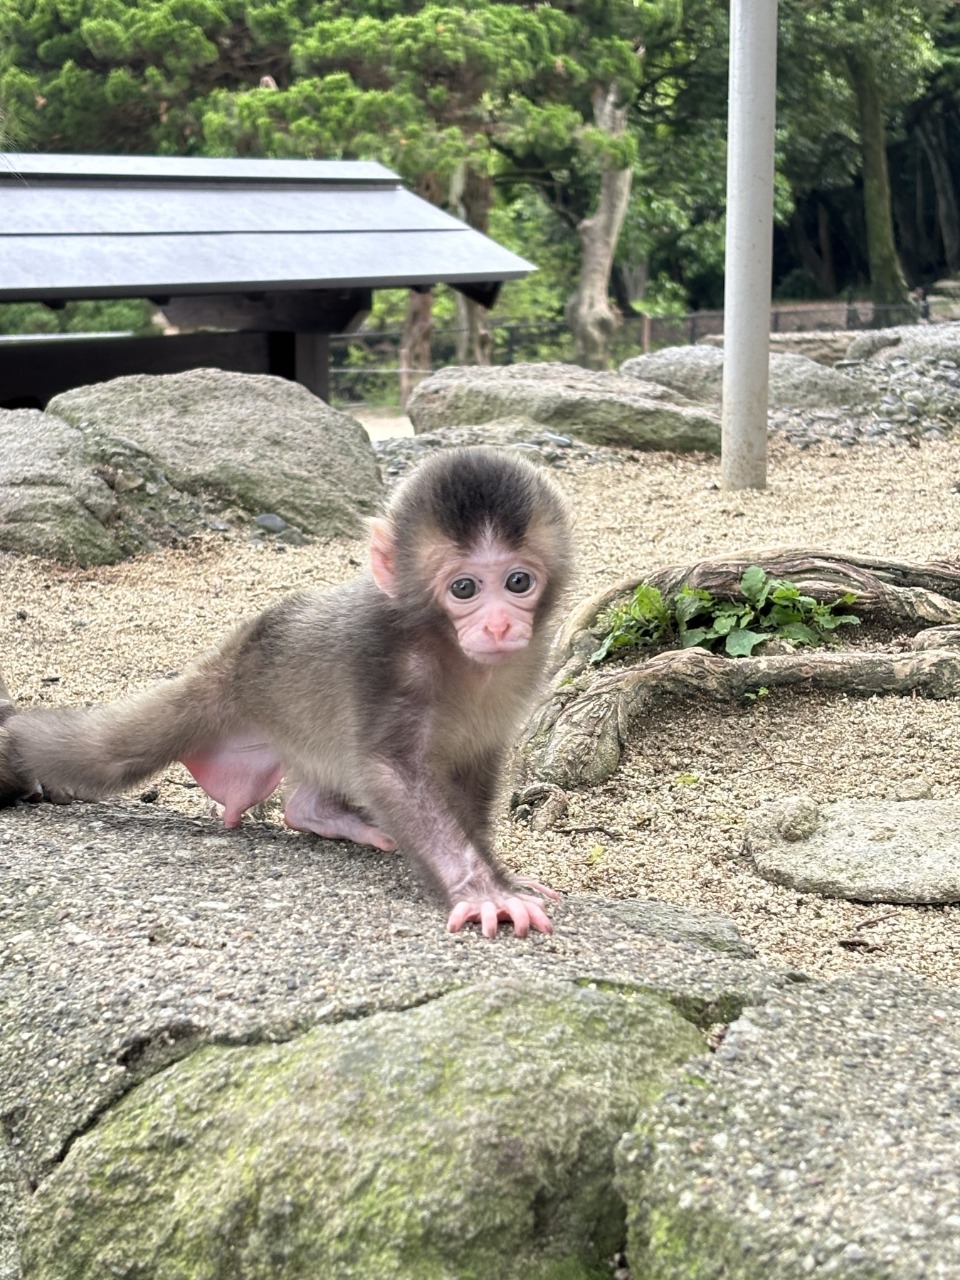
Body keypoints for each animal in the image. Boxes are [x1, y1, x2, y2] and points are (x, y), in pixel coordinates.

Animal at [0, 450, 570, 942]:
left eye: (518, 582)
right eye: (464, 589)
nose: (498, 626)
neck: (450, 649)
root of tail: (237, 657)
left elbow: (474, 767)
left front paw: (501, 875)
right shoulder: (383, 655)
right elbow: (394, 770)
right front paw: (482, 891)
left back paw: (314, 811)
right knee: (107, 754)